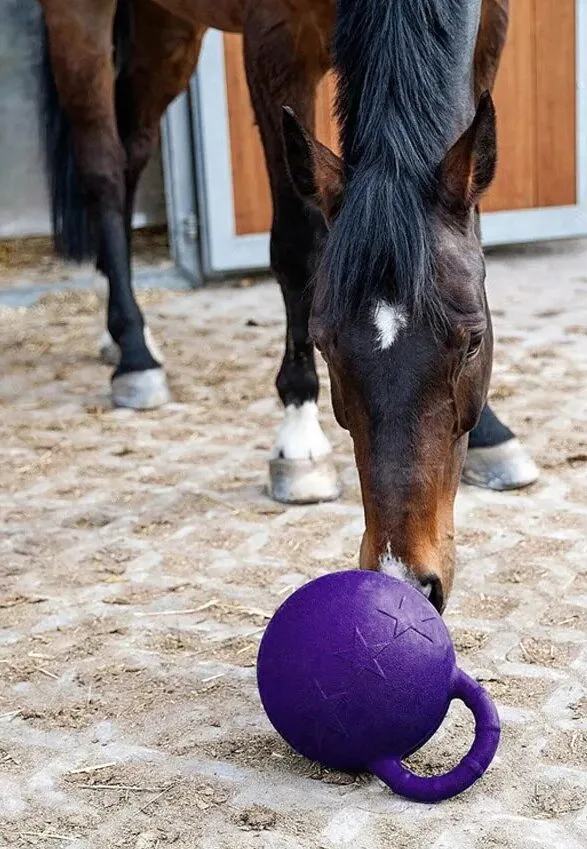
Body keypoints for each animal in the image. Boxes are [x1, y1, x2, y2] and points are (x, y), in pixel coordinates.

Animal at [38, 0, 538, 611]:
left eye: (474, 340)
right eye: (323, 343)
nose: (404, 579)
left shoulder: (491, 29)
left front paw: (490, 431)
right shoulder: (277, 44)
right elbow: (297, 246)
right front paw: (299, 434)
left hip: (168, 29)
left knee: (134, 147)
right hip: (79, 20)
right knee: (105, 169)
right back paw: (134, 351)